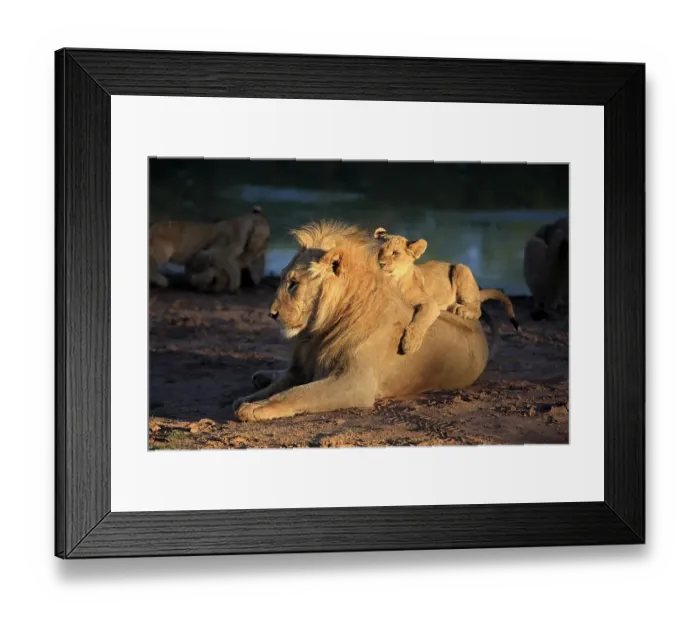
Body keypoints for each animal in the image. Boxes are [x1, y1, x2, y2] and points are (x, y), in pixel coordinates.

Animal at [231, 221, 492, 422]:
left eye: (294, 283)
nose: (271, 313)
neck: (318, 332)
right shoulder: (301, 368)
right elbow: (281, 387)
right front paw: (247, 399)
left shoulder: (355, 383)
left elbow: (297, 393)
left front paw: (255, 408)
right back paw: (262, 376)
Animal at [372, 227, 519, 355]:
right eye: (379, 251)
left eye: (395, 253)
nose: (380, 263)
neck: (393, 281)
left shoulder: (430, 302)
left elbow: (421, 320)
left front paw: (410, 344)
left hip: (461, 268)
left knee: (477, 310)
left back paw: (461, 309)